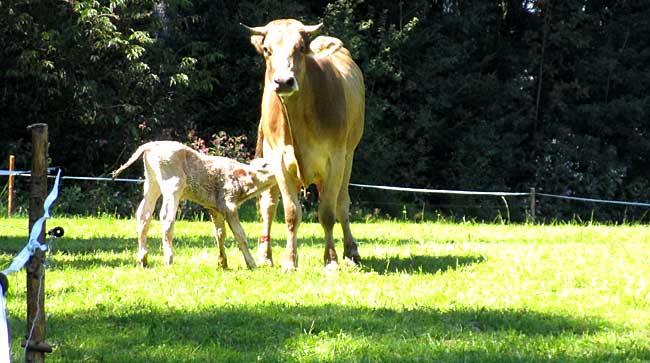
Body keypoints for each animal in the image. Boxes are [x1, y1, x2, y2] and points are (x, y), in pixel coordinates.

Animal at [111, 141, 274, 268]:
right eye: (264, 165)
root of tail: (151, 144)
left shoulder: (215, 208)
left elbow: (220, 233)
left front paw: (222, 262)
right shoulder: (229, 205)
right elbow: (240, 234)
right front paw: (251, 264)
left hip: (152, 183)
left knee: (144, 215)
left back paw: (143, 258)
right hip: (174, 184)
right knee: (166, 217)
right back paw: (168, 258)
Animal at [242, 19, 364, 270]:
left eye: (299, 48)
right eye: (267, 50)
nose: (283, 81)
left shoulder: (336, 159)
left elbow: (327, 212)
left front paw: (331, 259)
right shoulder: (279, 160)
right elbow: (291, 212)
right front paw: (289, 260)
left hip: (348, 158)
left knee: (342, 204)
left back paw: (351, 251)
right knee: (269, 206)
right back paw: (265, 256)